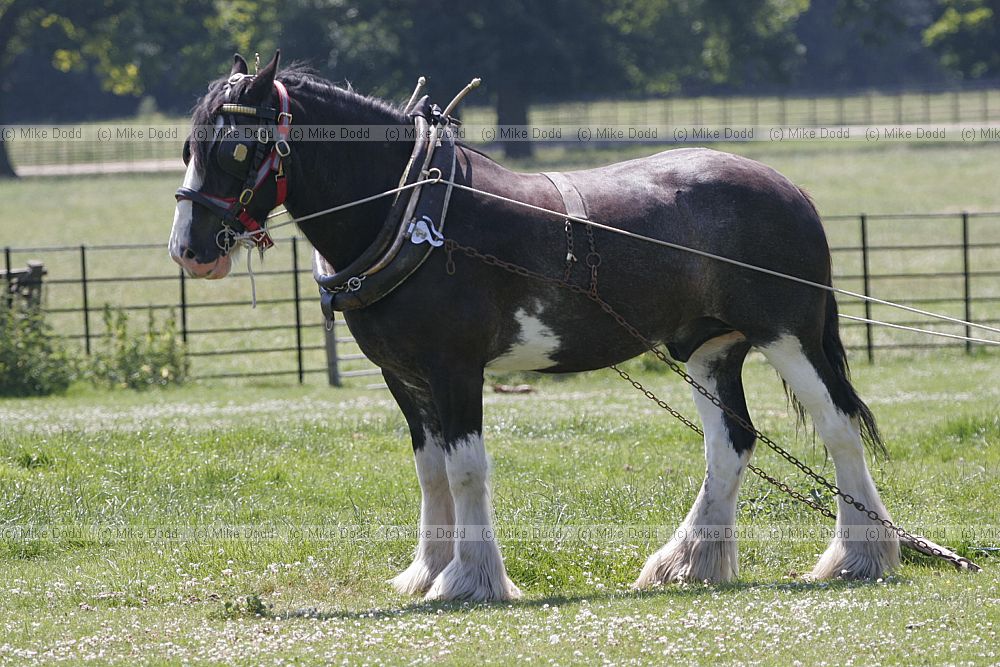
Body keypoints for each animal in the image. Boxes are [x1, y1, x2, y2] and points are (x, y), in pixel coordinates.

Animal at [169, 52, 900, 601]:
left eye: (239, 148)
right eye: (188, 147)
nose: (191, 250)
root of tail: (790, 188)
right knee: (730, 443)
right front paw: (427, 571)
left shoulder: (454, 368)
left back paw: (860, 554)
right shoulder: (404, 377)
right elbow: (430, 471)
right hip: (707, 348)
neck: (416, 212)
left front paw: (470, 577)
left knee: (838, 428)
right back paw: (689, 560)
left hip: (788, 335)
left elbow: (465, 469)